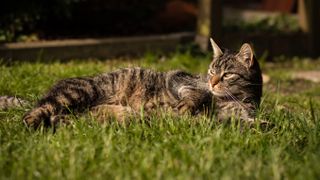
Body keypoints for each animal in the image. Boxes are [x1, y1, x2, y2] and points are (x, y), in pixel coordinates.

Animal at [0, 38, 262, 129]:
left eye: (227, 74)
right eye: (210, 71)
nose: (212, 82)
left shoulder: (231, 118)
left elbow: (251, 123)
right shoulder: (180, 78)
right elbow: (195, 95)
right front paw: (187, 106)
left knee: (62, 118)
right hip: (77, 93)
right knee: (33, 113)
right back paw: (33, 125)